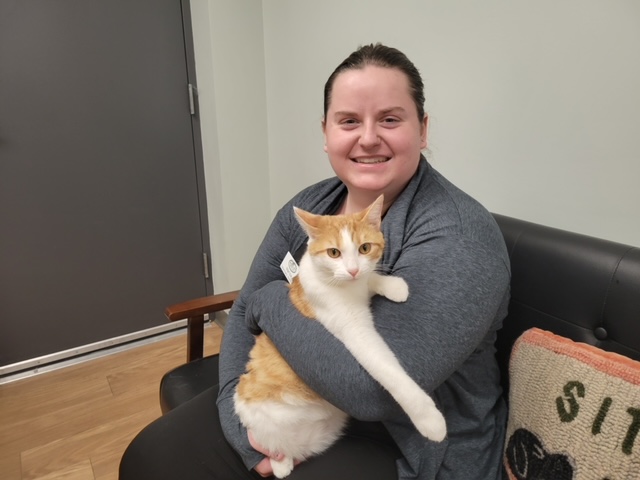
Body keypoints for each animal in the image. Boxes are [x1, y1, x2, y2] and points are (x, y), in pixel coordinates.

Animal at [232, 194, 448, 476]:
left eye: (365, 248)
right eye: (334, 253)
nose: (353, 270)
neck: (345, 287)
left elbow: (371, 278)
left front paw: (392, 285)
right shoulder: (356, 335)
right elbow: (391, 374)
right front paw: (429, 419)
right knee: (271, 443)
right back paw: (280, 461)